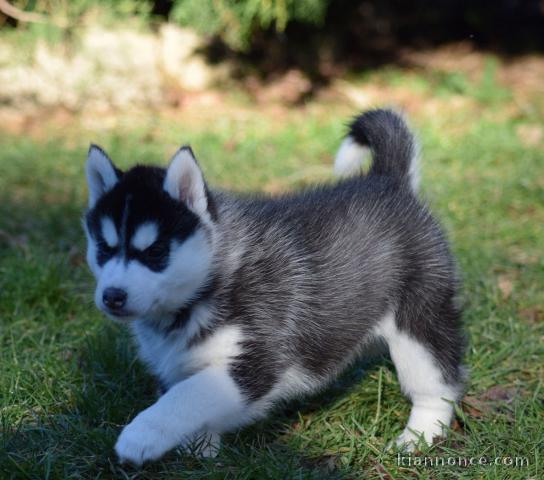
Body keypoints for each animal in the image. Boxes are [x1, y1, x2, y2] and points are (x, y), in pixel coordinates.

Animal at [84, 109, 464, 464]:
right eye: (103, 248)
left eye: (156, 252)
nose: (112, 297)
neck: (208, 286)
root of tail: (387, 180)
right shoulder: (178, 362)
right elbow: (189, 399)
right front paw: (200, 449)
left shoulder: (254, 360)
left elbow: (187, 396)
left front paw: (142, 434)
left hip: (419, 319)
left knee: (437, 382)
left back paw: (420, 435)